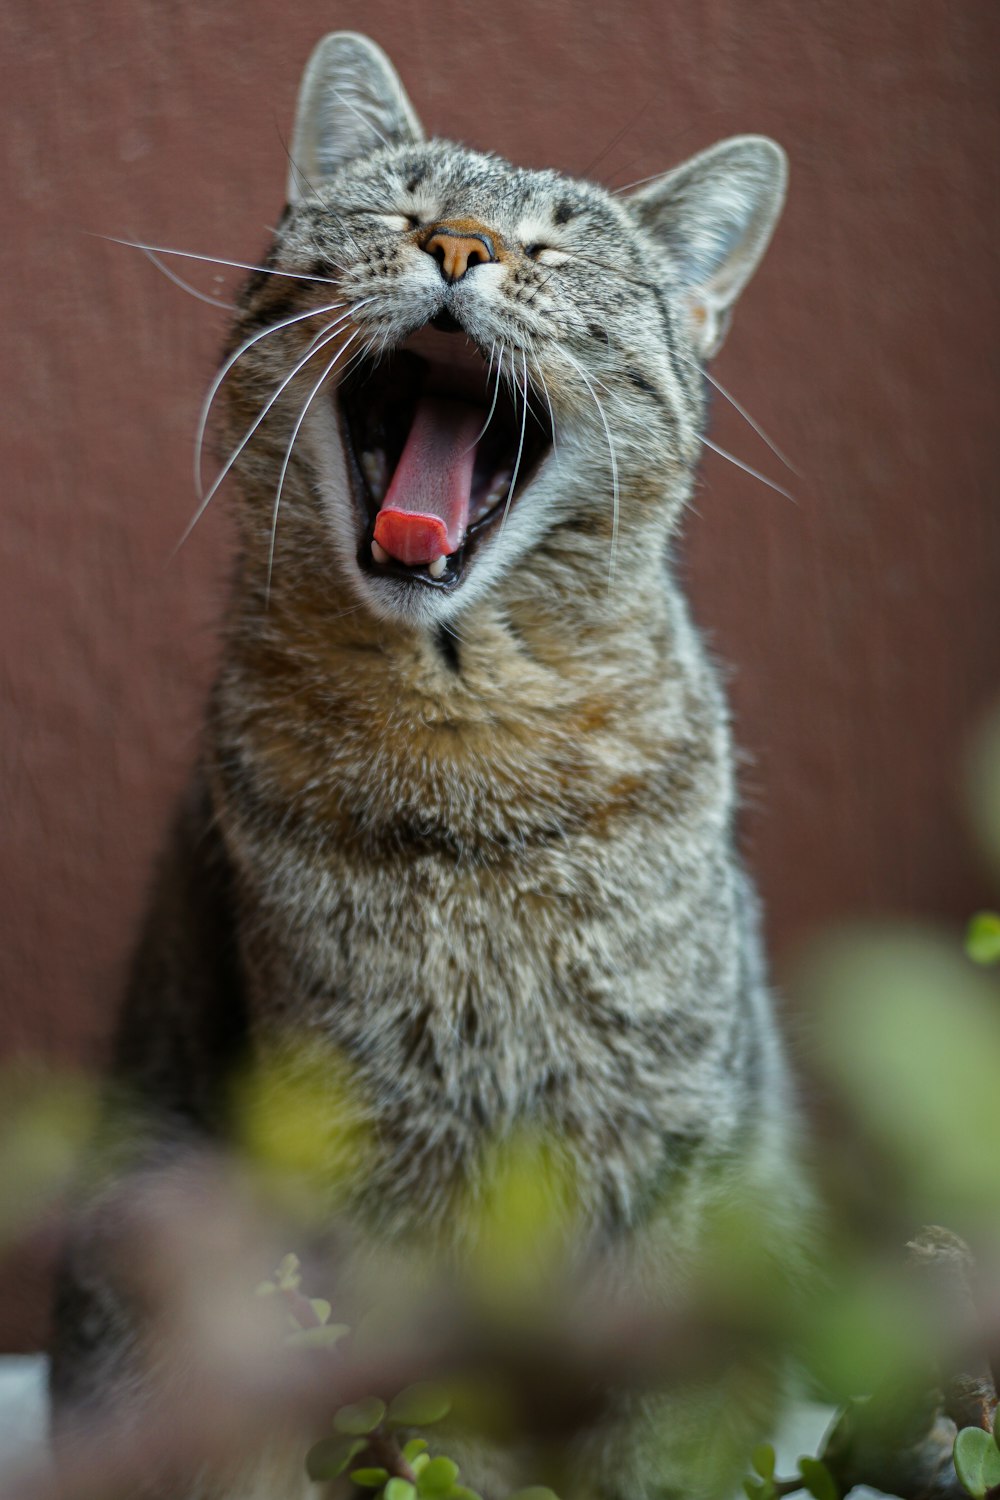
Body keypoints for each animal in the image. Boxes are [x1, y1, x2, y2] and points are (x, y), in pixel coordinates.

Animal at [50, 26, 809, 1500]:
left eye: (554, 246)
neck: (470, 745)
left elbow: (650, 1428)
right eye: (401, 209)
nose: (461, 246)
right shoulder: (348, 1154)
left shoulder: (674, 1133)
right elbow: (399, 1417)